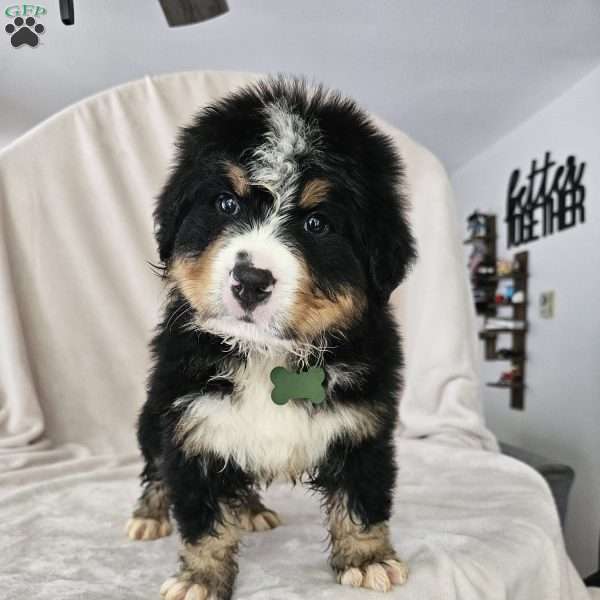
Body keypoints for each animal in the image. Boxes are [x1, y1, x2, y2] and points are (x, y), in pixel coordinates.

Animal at [126, 77, 418, 596]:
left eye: (317, 223)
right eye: (226, 203)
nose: (250, 280)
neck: (268, 354)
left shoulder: (365, 424)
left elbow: (362, 496)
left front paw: (369, 559)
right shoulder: (190, 424)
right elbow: (202, 515)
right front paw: (200, 577)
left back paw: (252, 510)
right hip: (153, 416)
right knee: (156, 469)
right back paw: (150, 514)